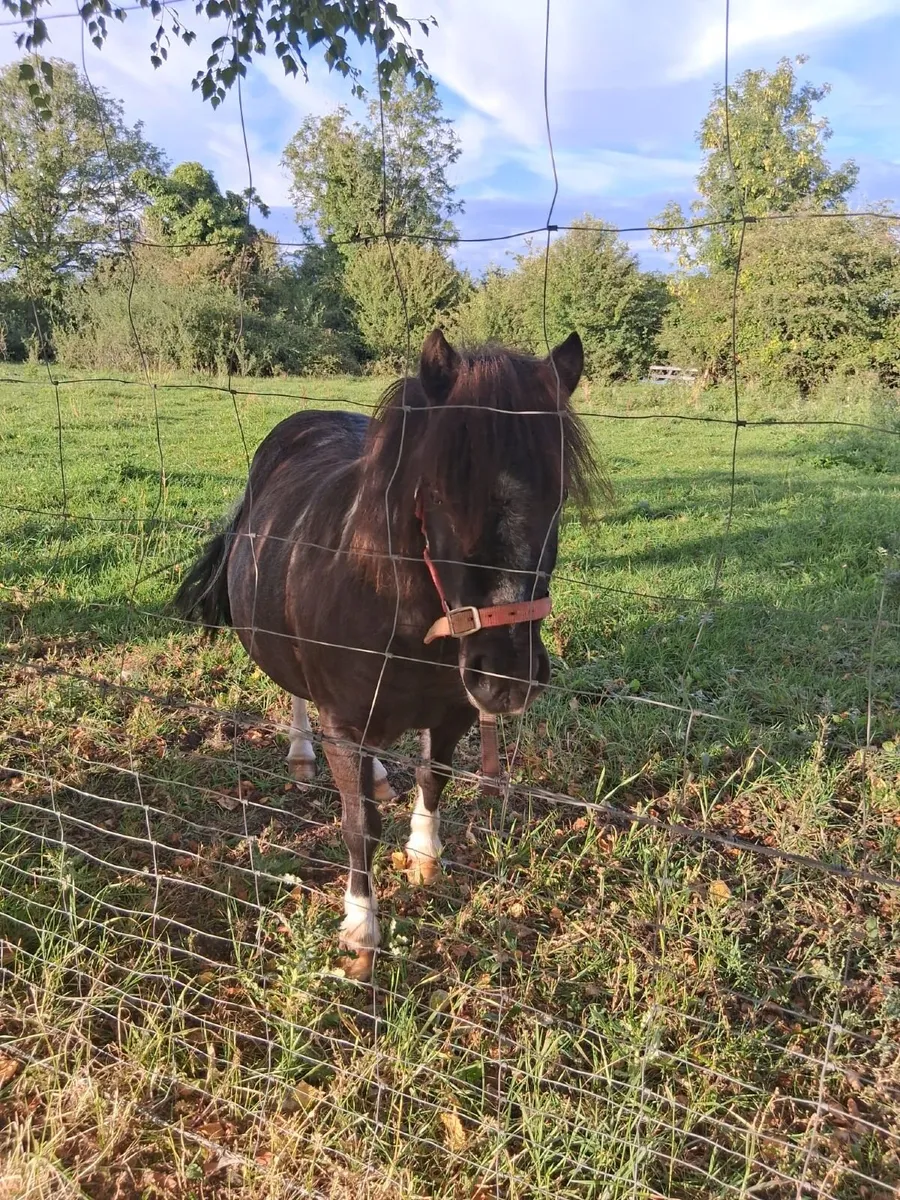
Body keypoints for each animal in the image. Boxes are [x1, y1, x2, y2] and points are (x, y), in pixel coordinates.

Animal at [174, 328, 599, 980]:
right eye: (440, 495)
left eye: (559, 495)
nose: (508, 678)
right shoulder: (343, 722)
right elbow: (358, 828)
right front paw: (360, 929)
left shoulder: (453, 712)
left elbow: (432, 775)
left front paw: (424, 853)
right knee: (296, 696)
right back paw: (302, 756)